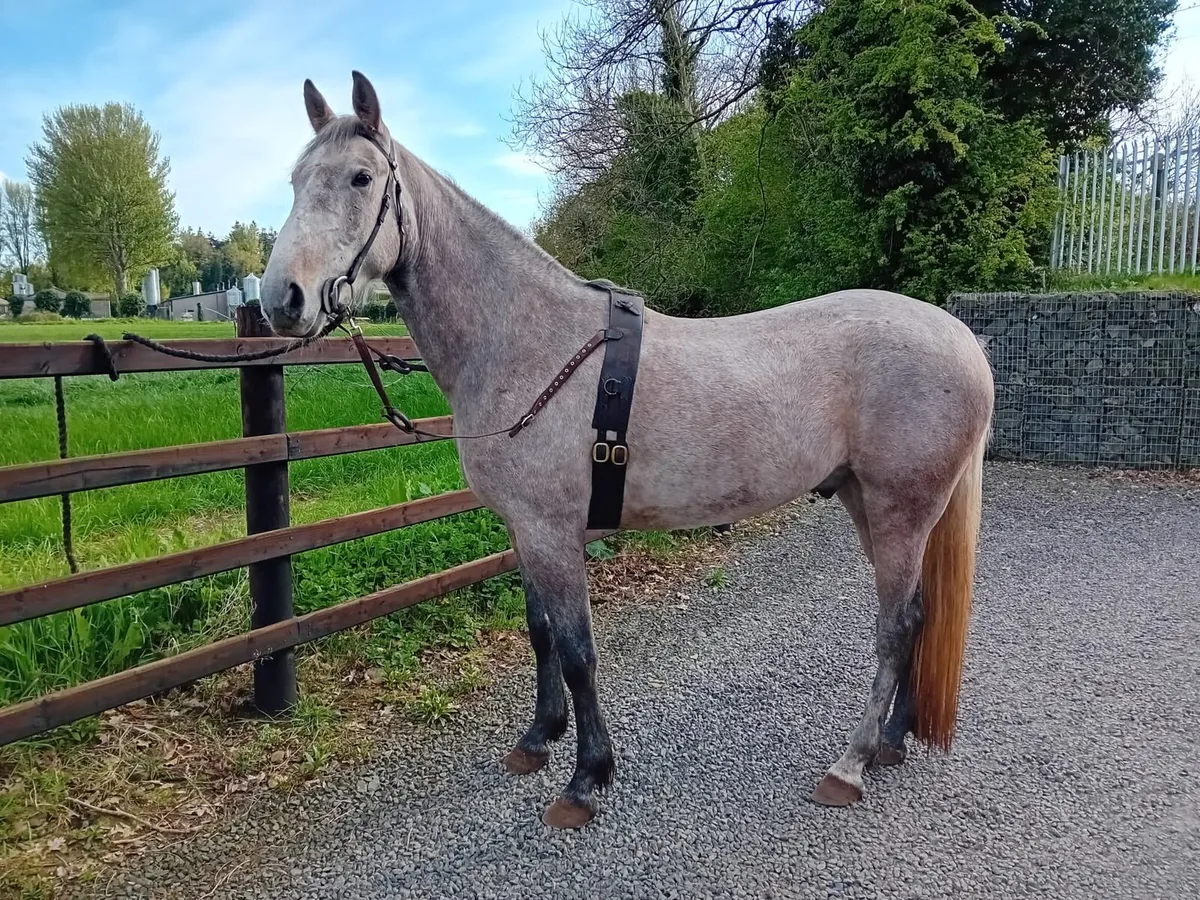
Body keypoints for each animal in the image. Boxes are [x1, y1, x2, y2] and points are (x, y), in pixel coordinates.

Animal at [259, 71, 995, 829]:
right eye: (296, 180)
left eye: (361, 177)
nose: (282, 299)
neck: (528, 341)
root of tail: (961, 339)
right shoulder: (526, 530)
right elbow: (540, 632)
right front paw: (538, 739)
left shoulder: (553, 532)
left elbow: (579, 651)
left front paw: (587, 778)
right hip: (866, 501)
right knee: (918, 616)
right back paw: (891, 743)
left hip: (900, 509)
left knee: (897, 625)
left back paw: (851, 764)